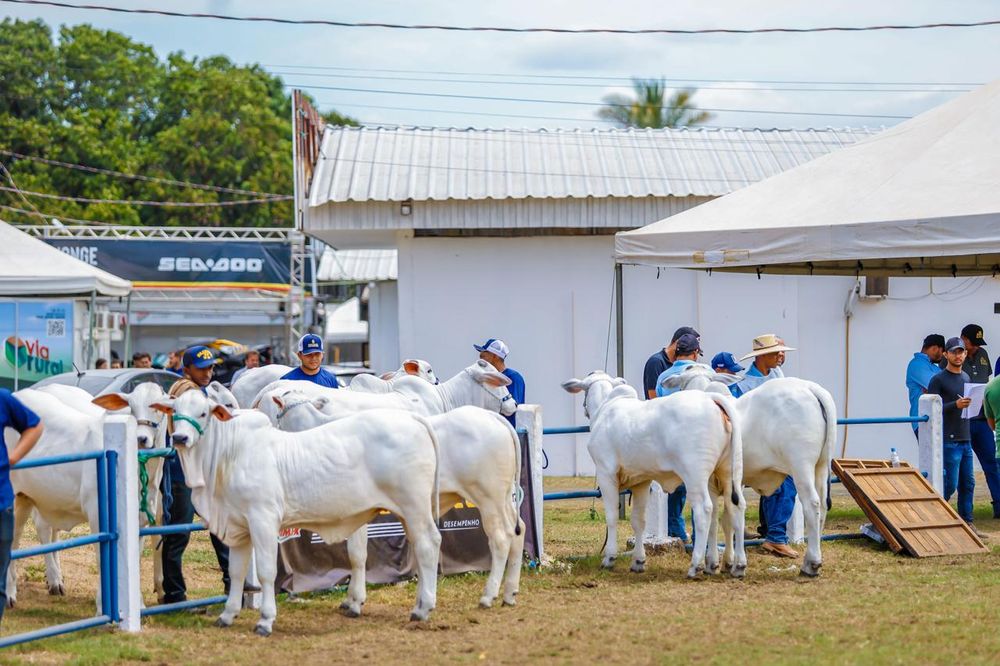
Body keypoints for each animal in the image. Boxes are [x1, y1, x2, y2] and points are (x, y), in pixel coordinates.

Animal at [152, 392, 442, 636]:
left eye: (203, 413)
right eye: (175, 411)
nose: (180, 438)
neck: (229, 455)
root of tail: (413, 418)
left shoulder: (263, 519)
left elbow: (267, 572)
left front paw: (265, 620)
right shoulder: (238, 526)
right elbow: (235, 572)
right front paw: (227, 615)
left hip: (414, 506)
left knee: (429, 544)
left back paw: (423, 608)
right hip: (407, 513)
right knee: (418, 548)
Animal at [270, 392, 528, 608]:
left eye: (278, 415)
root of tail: (493, 417)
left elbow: (355, 553)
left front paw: (353, 600)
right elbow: (359, 554)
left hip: (488, 498)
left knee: (500, 538)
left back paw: (489, 595)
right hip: (505, 498)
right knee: (519, 531)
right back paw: (510, 593)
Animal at [560, 370, 748, 580]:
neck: (605, 409)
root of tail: (711, 399)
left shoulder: (606, 474)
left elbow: (612, 517)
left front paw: (609, 558)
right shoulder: (641, 481)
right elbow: (638, 521)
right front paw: (638, 561)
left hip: (695, 475)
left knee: (704, 510)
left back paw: (695, 566)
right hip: (728, 471)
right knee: (735, 507)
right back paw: (737, 565)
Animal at [660, 364, 840, 576]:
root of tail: (811, 388)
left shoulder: (711, 481)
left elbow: (714, 519)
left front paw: (713, 562)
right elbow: (727, 520)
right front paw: (728, 561)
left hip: (801, 466)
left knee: (812, 504)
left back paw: (810, 563)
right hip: (821, 466)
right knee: (823, 506)